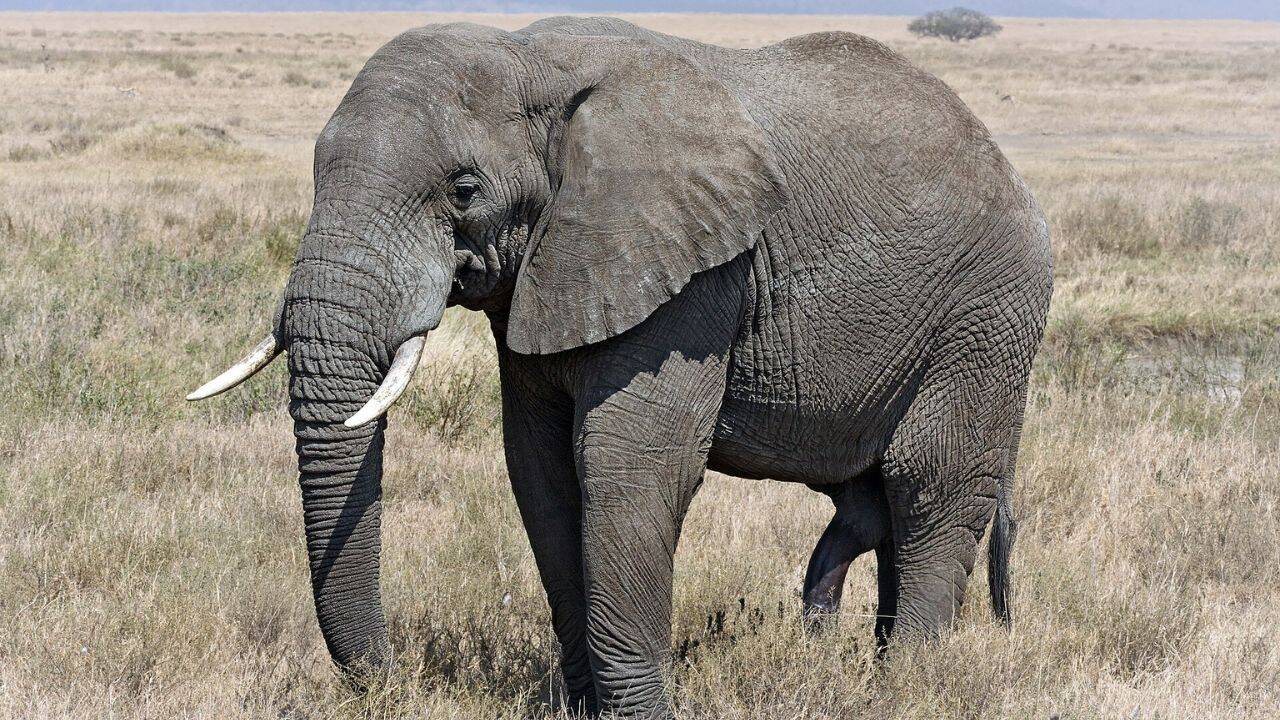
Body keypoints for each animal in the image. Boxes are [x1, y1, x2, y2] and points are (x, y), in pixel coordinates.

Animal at [188, 16, 1052, 719]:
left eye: (463, 190)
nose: (390, 683)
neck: (531, 59)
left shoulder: (693, 276)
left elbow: (627, 467)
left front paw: (639, 713)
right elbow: (541, 472)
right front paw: (578, 709)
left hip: (986, 314)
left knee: (927, 484)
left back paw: (903, 688)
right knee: (871, 501)